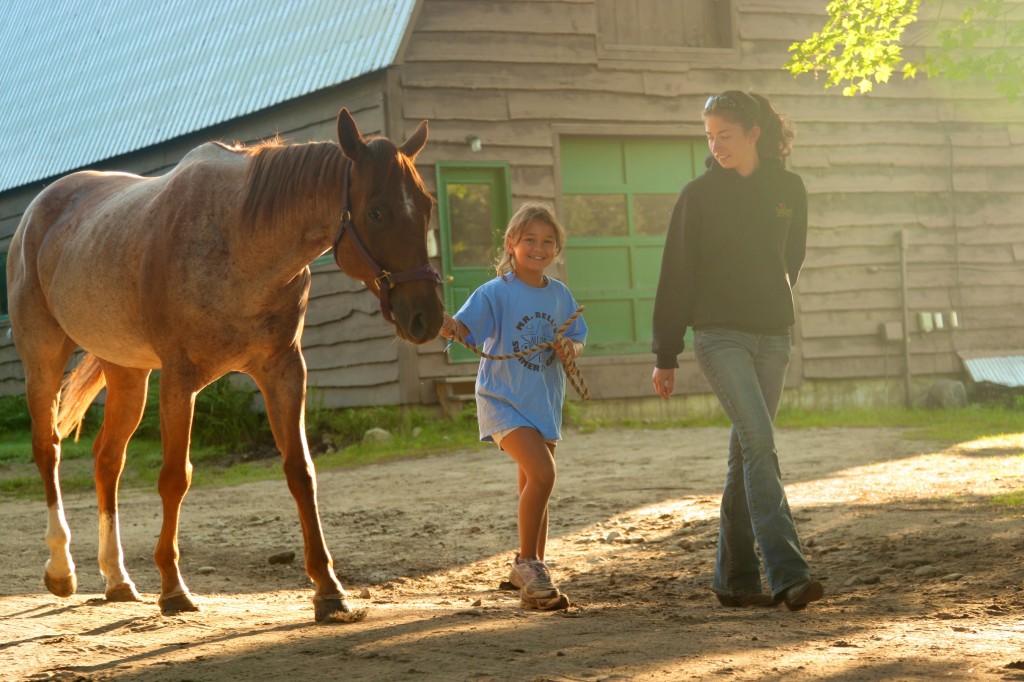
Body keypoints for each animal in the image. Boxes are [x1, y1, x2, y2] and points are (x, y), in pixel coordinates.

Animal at [4, 106, 444, 622]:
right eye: (376, 211)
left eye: (427, 205)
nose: (427, 317)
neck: (240, 241)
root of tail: (39, 209)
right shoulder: (180, 380)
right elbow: (175, 478)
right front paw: (173, 587)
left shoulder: (284, 372)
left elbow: (301, 471)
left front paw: (328, 588)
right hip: (44, 357)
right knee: (48, 449)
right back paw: (61, 569)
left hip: (128, 373)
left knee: (107, 459)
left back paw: (117, 578)